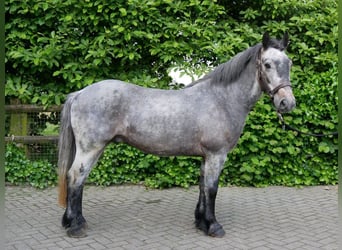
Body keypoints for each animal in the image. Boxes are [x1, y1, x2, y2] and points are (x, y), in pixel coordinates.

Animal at [57, 32, 296, 237]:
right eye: (267, 64)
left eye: (289, 63)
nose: (287, 103)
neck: (222, 99)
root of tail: (79, 93)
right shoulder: (216, 155)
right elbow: (212, 189)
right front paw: (214, 226)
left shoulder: (206, 157)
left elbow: (202, 187)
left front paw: (201, 222)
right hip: (90, 149)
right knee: (76, 178)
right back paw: (76, 226)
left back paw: (71, 221)